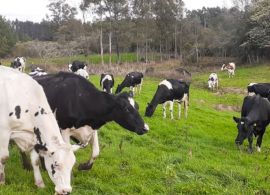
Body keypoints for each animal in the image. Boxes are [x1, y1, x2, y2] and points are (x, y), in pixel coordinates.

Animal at [0, 66, 78, 195]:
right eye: (56, 165)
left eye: (72, 165)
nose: (66, 191)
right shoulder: (4, 132)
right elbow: (4, 157)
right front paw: (2, 181)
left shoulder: (34, 136)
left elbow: (35, 161)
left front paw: (39, 183)